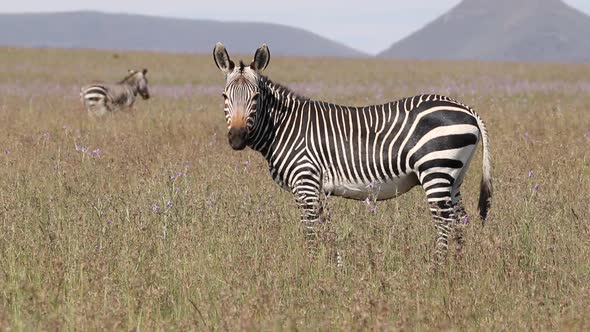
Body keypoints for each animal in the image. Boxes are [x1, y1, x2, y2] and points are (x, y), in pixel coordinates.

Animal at [215, 42, 492, 264]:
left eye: (256, 97)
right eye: (224, 96)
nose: (237, 139)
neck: (284, 127)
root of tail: (466, 109)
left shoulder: (305, 180)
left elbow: (310, 228)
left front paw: (311, 268)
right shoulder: (314, 187)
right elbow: (323, 228)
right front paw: (332, 264)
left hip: (436, 169)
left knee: (445, 220)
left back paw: (437, 268)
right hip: (454, 176)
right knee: (460, 219)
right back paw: (457, 268)